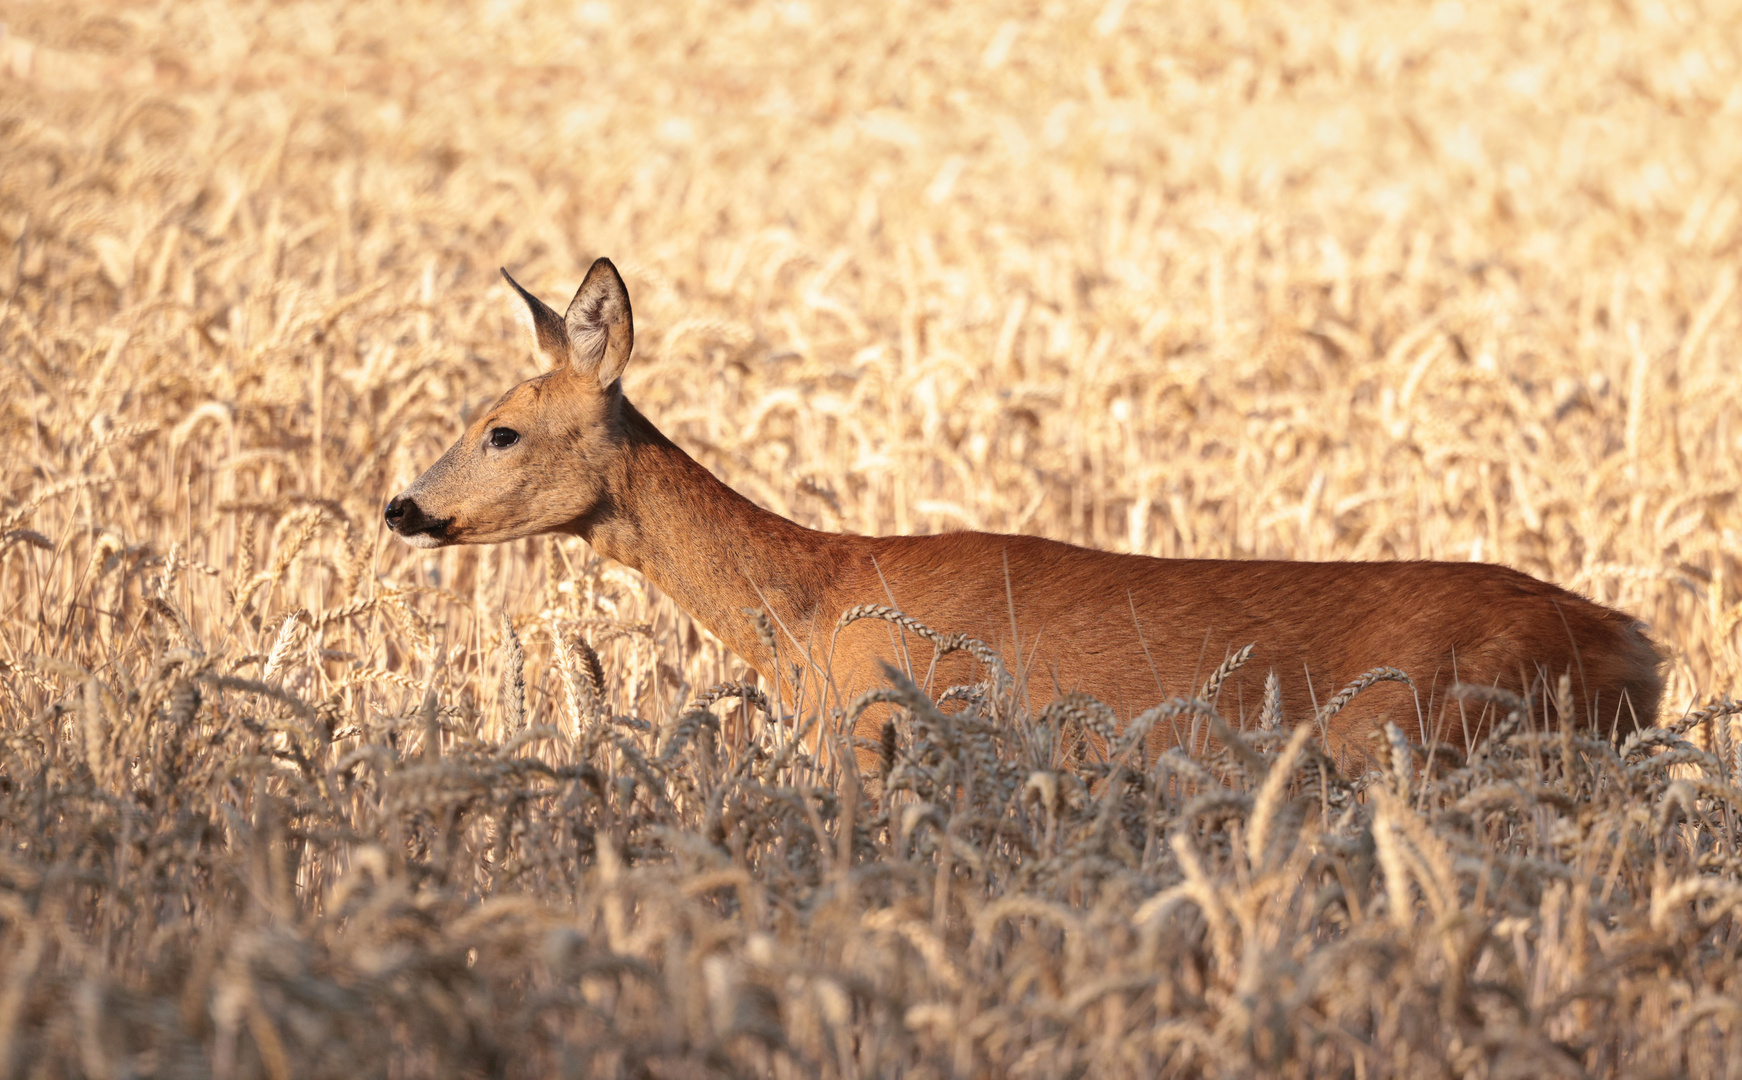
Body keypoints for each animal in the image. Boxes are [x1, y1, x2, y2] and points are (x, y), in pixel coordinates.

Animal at [388, 257, 1665, 773]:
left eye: (501, 429)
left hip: (1424, 748)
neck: (811, 602)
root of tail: (1635, 646)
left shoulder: (868, 733)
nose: (401, 507)